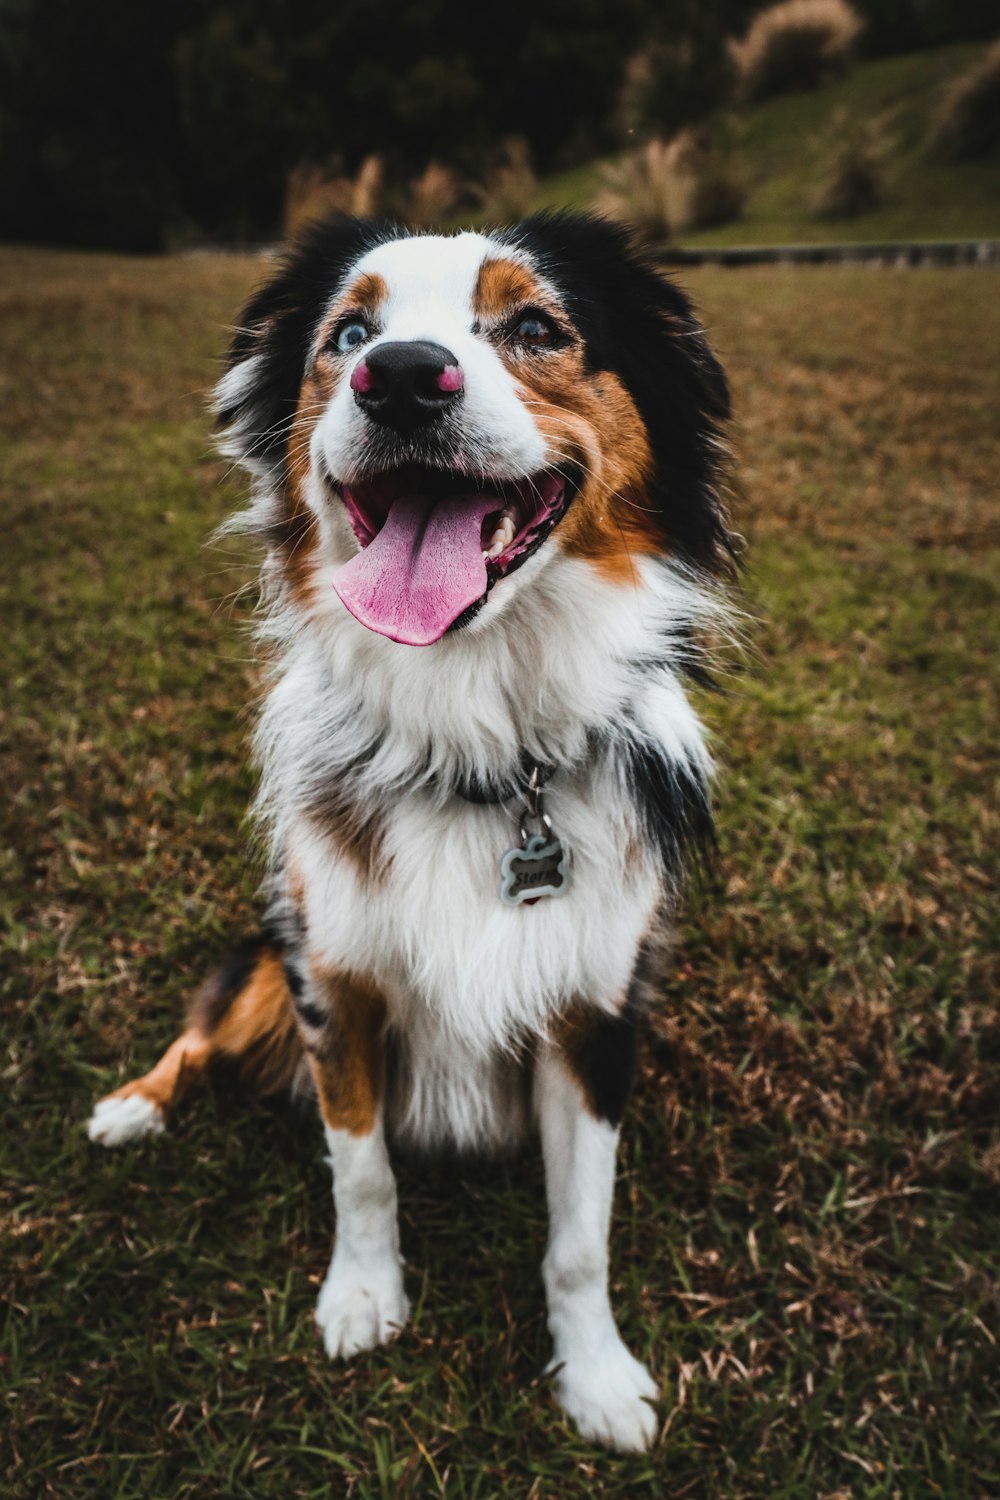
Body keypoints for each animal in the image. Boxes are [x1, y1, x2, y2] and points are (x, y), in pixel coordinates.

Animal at [88, 211, 734, 1452]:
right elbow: (362, 1168)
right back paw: (129, 1110)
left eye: (535, 327)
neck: (479, 750)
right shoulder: (331, 974)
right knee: (196, 1039)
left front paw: (596, 1379)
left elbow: (579, 1237)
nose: (397, 378)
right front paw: (362, 1300)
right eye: (349, 334)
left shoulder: (595, 1010)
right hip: (263, 954)